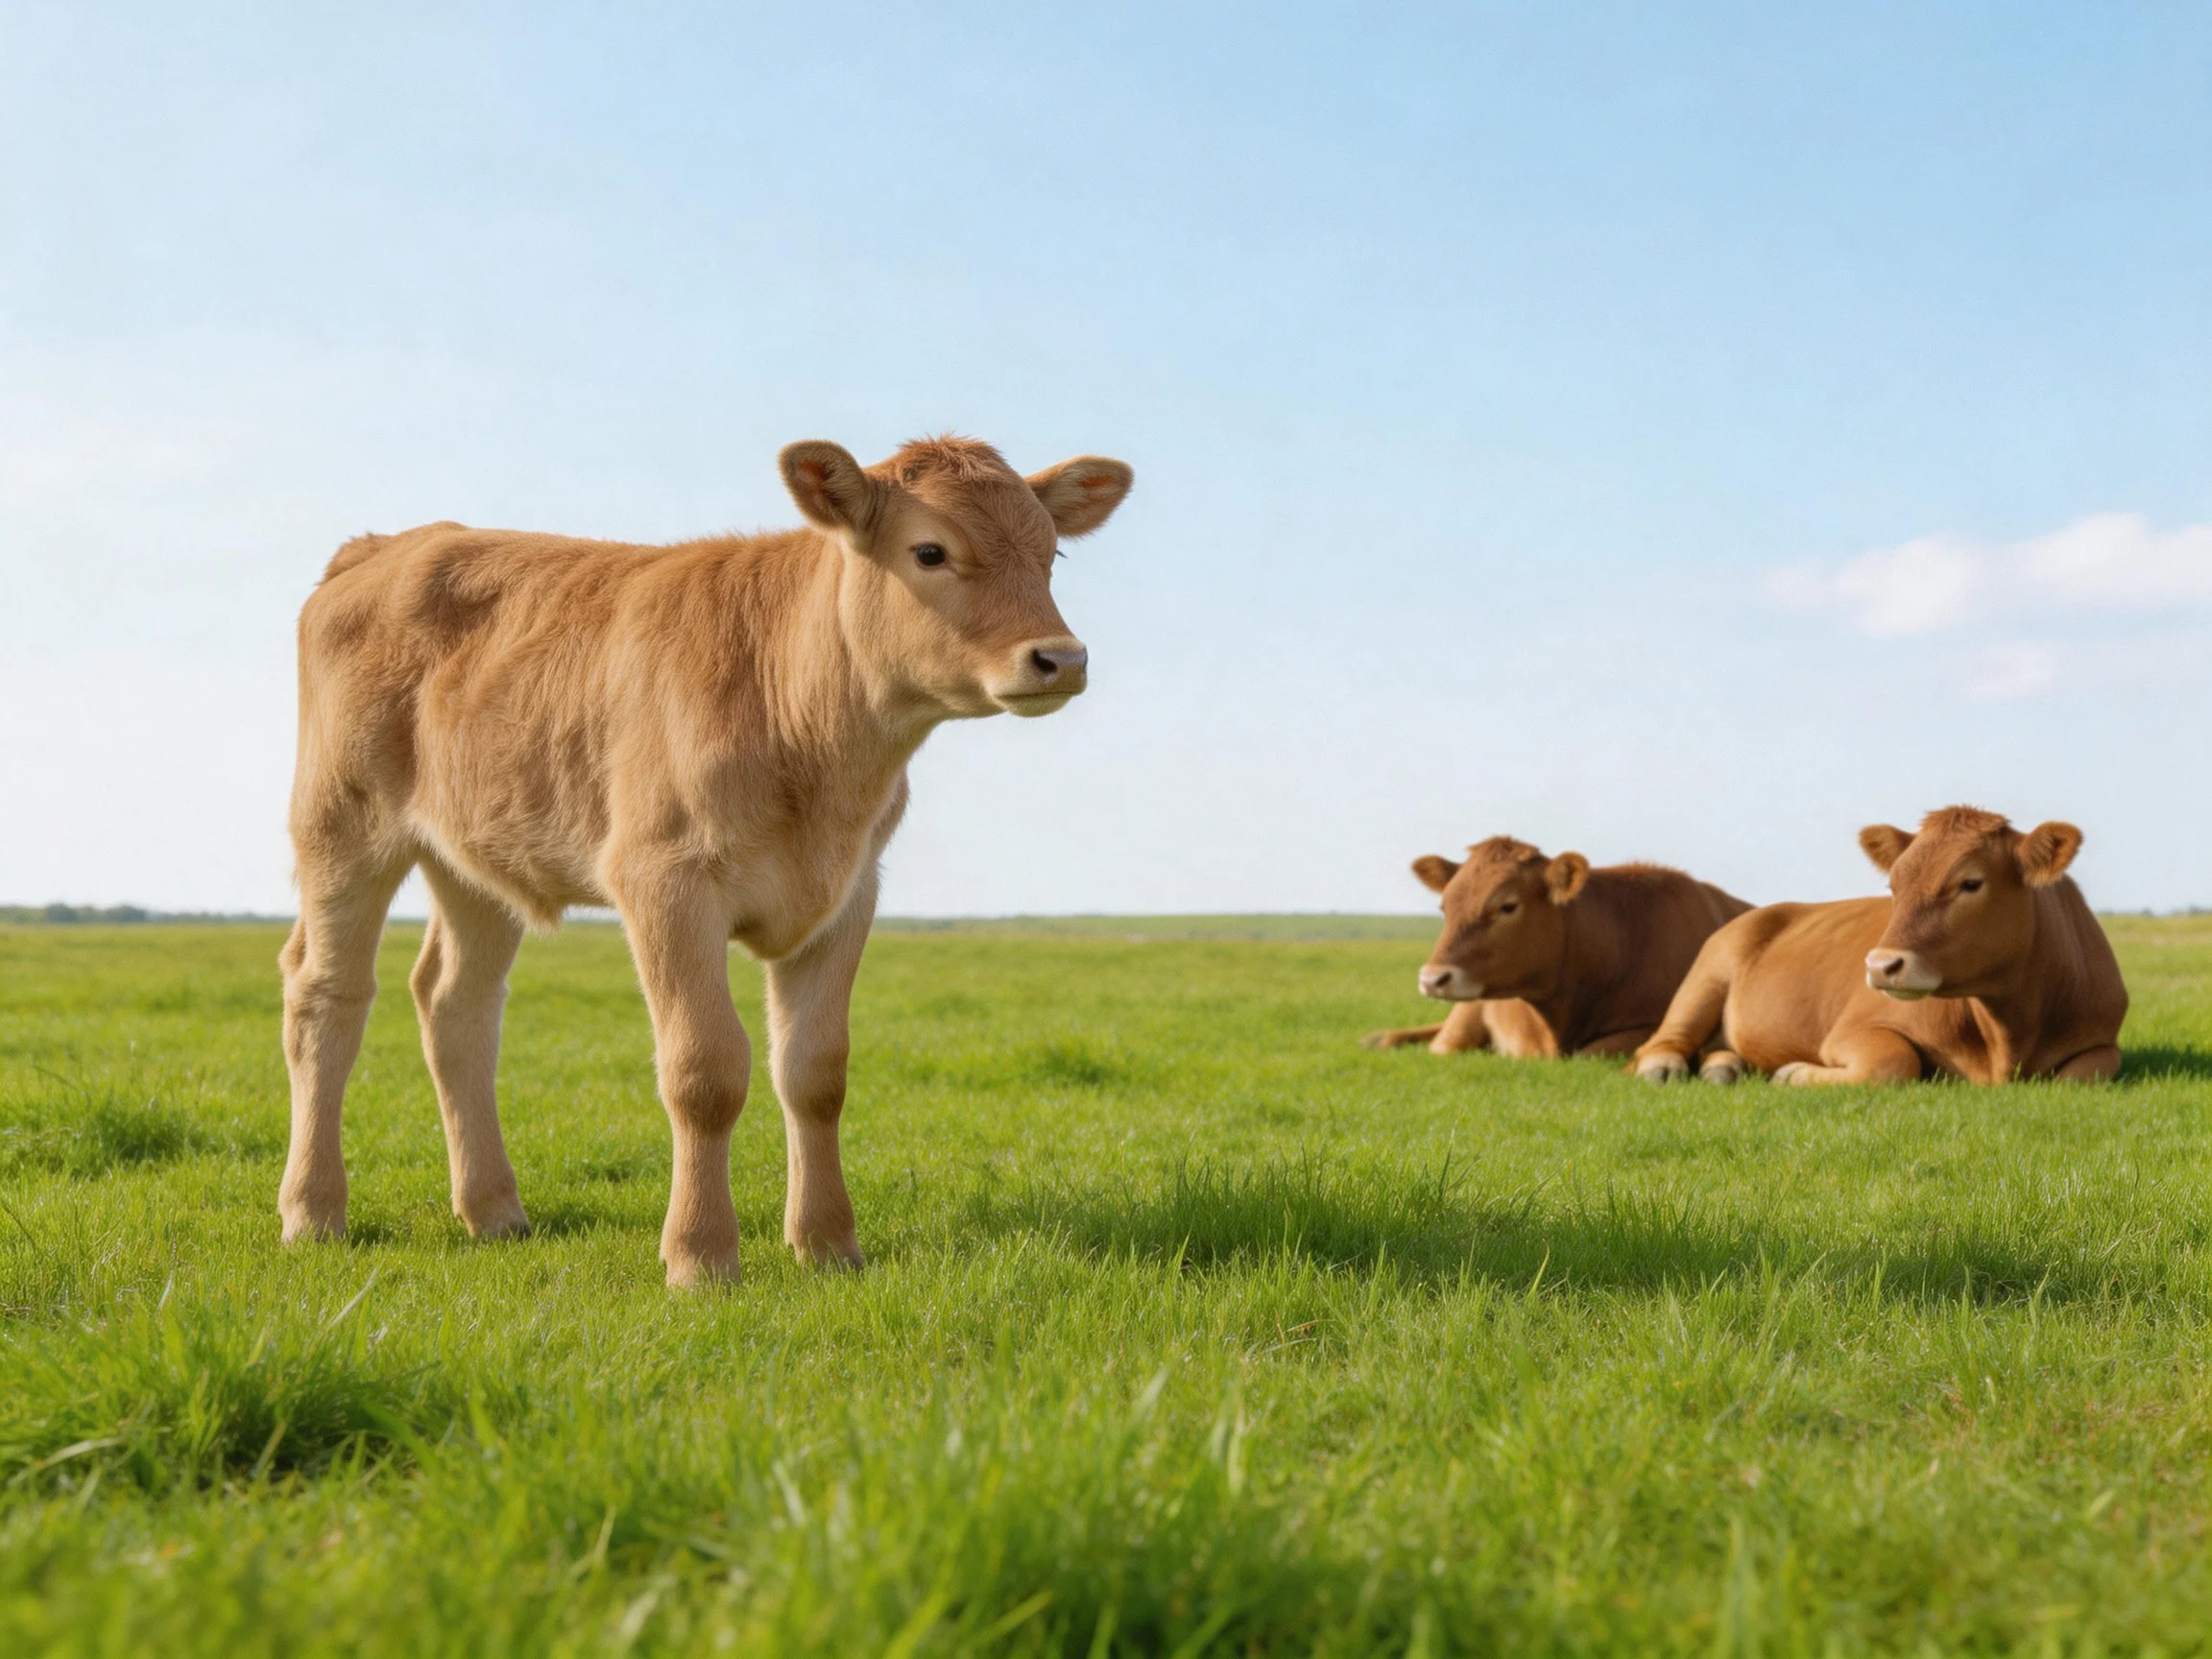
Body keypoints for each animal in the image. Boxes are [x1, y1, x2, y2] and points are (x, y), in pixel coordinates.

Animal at [278, 435, 1133, 1286]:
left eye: (1051, 552)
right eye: (930, 551)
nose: (1061, 658)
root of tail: (388, 545)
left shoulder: (849, 892)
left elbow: (816, 1073)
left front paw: (828, 1244)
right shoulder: (665, 883)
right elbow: (705, 1072)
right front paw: (700, 1255)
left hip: (476, 859)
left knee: (457, 1004)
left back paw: (492, 1210)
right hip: (342, 825)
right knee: (327, 996)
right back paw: (314, 1212)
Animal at [1633, 807, 2126, 1086]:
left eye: (1970, 883)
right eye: (1894, 885)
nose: (1881, 965)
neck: (2008, 1032)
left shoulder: (2103, 1042)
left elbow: (2079, 1077)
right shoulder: (1850, 1031)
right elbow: (1895, 1061)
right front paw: (1795, 1073)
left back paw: (1722, 1067)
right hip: (1707, 973)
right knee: (1661, 1042)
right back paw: (1664, 1068)